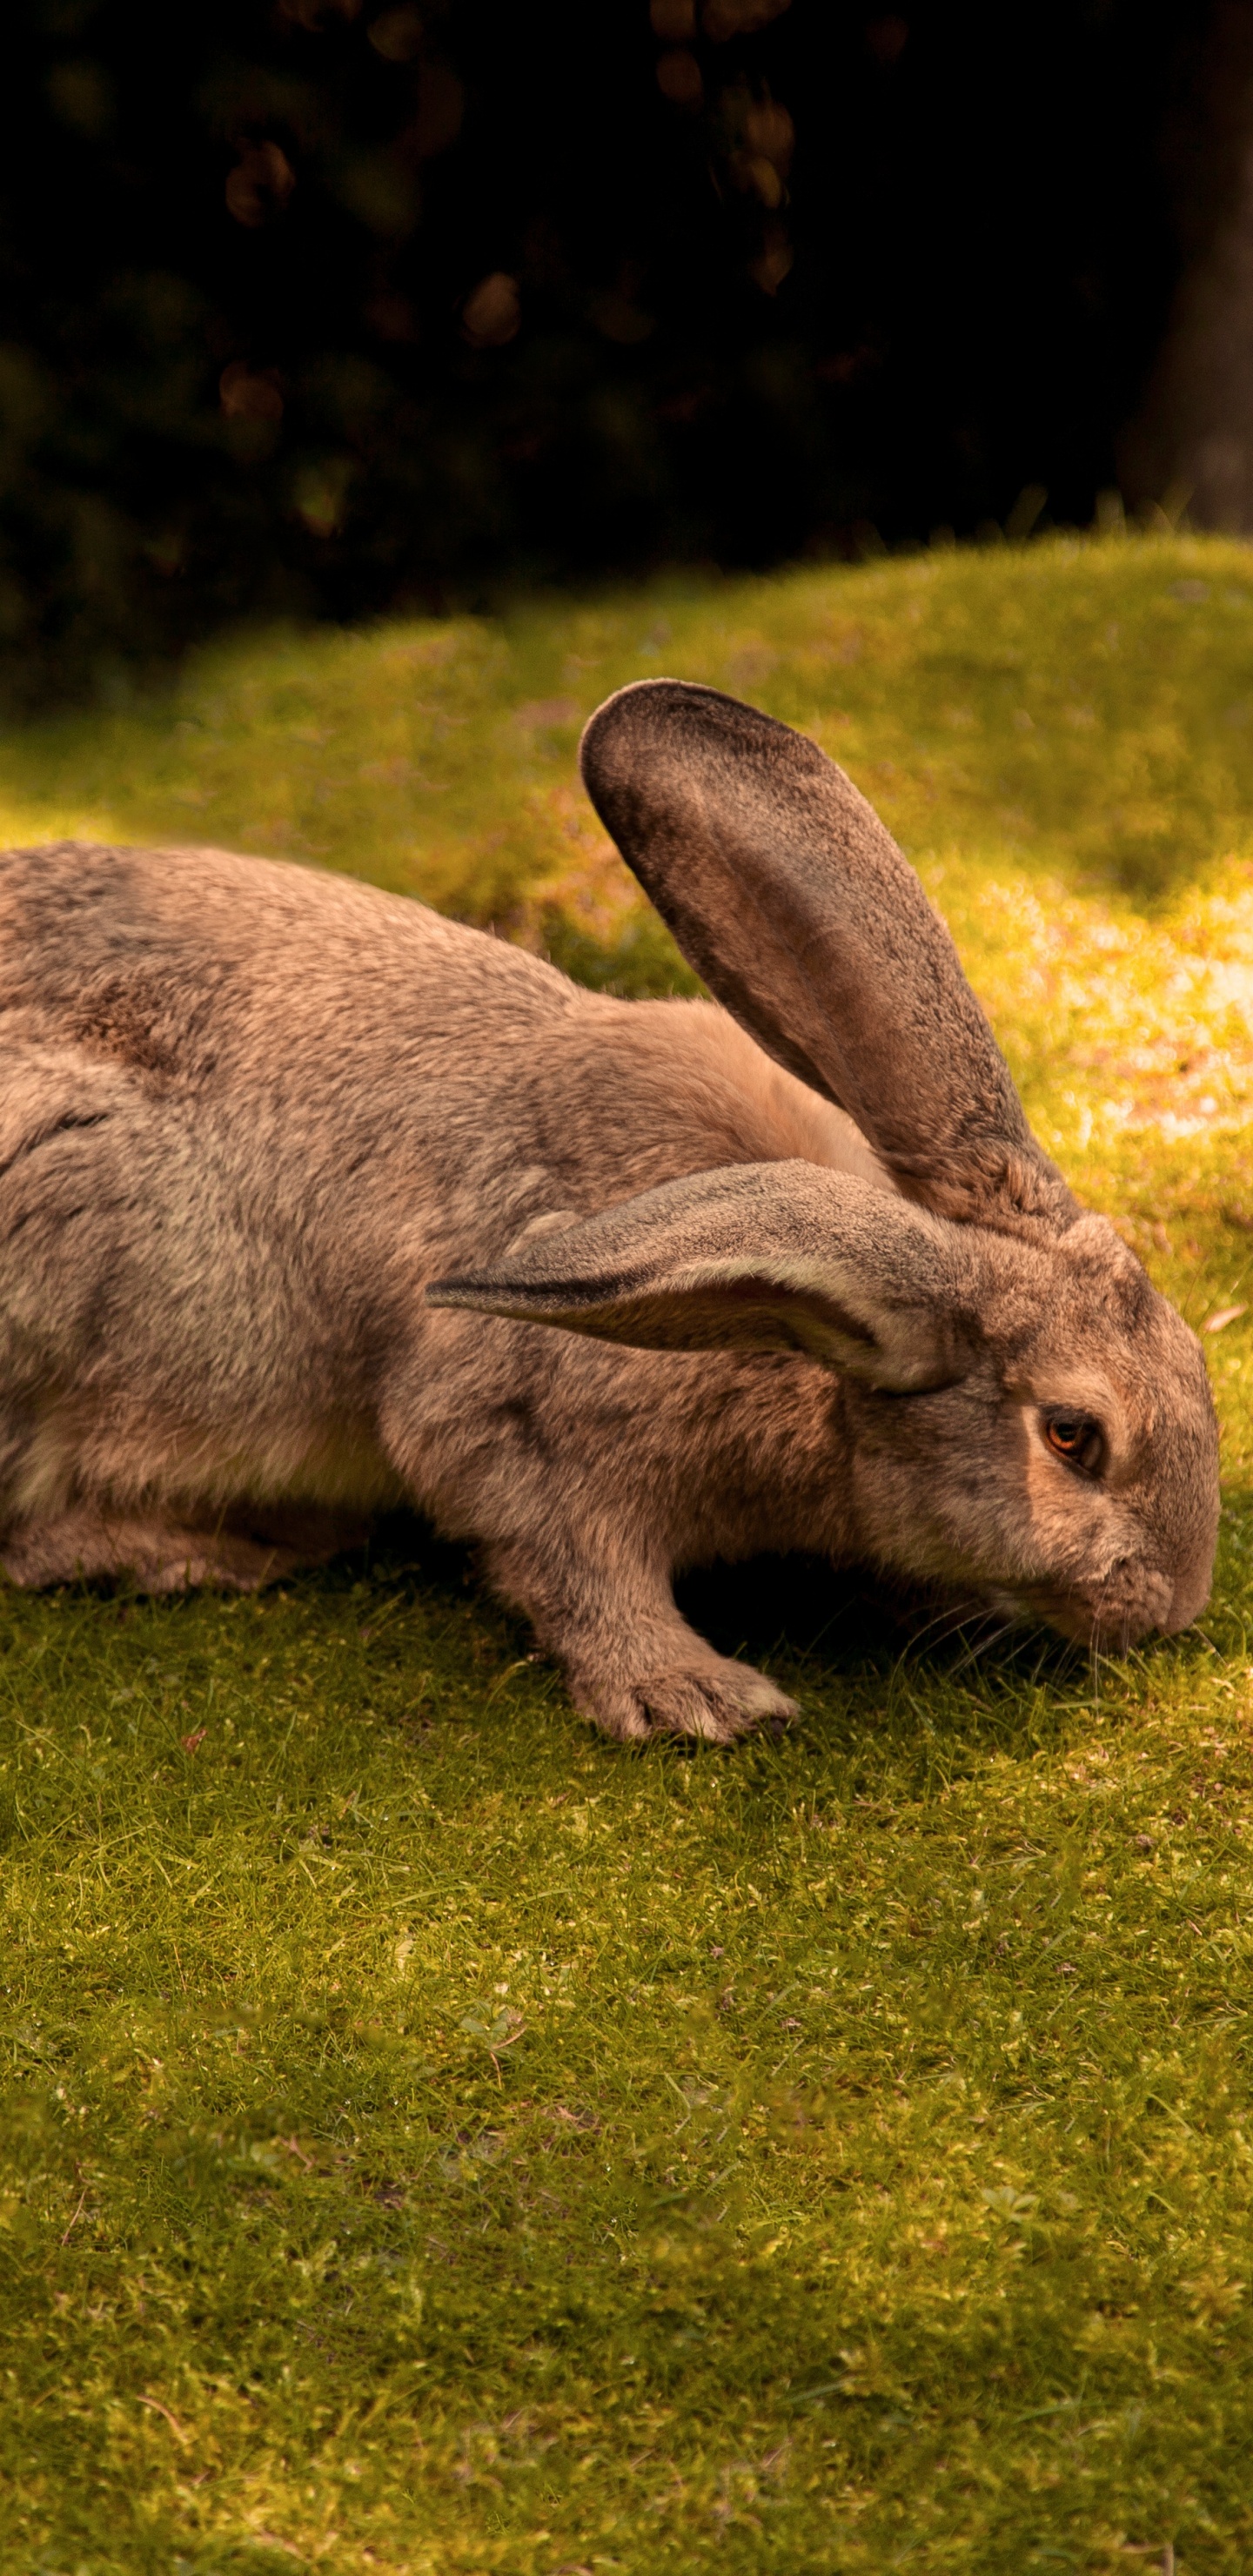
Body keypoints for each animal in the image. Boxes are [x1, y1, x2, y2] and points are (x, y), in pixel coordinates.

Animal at [0, 679, 1219, 1743]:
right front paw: (697, 1696)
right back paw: (218, 1549)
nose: (1172, 1607)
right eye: (1074, 1436)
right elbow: (573, 1566)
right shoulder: (520, 1428)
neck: (799, 1319)